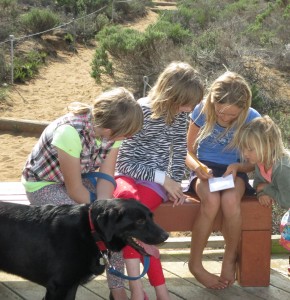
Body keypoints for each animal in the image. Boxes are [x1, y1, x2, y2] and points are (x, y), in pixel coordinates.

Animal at [0, 198, 169, 298]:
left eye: (151, 217)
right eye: (140, 221)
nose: (166, 235)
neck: (91, 232)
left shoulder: (70, 286)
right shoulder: (59, 287)